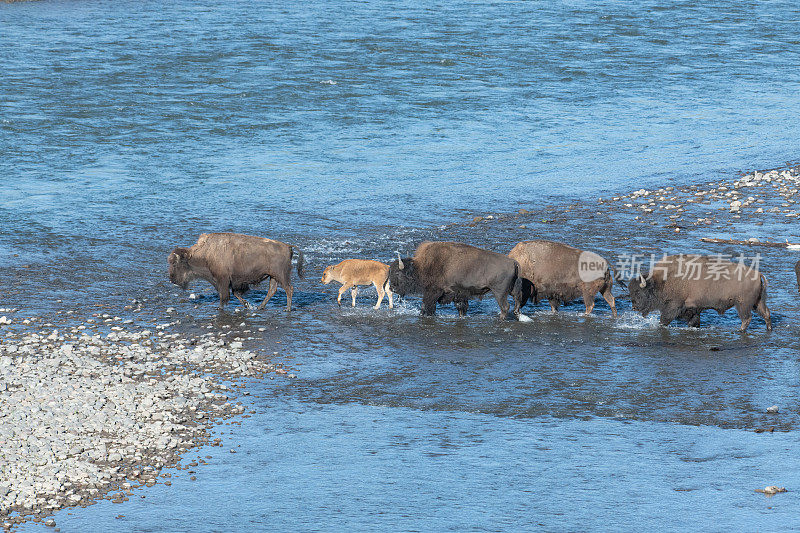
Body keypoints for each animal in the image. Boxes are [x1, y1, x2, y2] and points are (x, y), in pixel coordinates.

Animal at [167, 231, 304, 310]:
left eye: (175, 263)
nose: (172, 279)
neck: (206, 253)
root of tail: (288, 246)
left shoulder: (222, 280)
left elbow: (224, 295)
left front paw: (220, 308)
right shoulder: (233, 282)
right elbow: (234, 293)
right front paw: (246, 304)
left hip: (281, 275)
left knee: (289, 289)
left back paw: (287, 309)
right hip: (273, 276)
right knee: (272, 290)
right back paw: (260, 307)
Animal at [390, 239, 524, 318]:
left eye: (397, 273)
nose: (392, 288)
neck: (423, 265)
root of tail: (513, 262)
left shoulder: (432, 292)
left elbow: (426, 306)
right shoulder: (459, 294)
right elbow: (461, 308)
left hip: (499, 292)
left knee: (505, 307)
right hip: (512, 289)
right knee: (517, 300)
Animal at [628, 252, 772, 330]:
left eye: (639, 292)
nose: (634, 307)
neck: (662, 281)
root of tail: (758, 274)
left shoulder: (674, 306)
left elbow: (664, 320)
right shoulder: (693, 309)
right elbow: (694, 321)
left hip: (743, 304)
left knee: (746, 318)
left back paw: (739, 331)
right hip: (757, 302)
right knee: (766, 314)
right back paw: (768, 329)